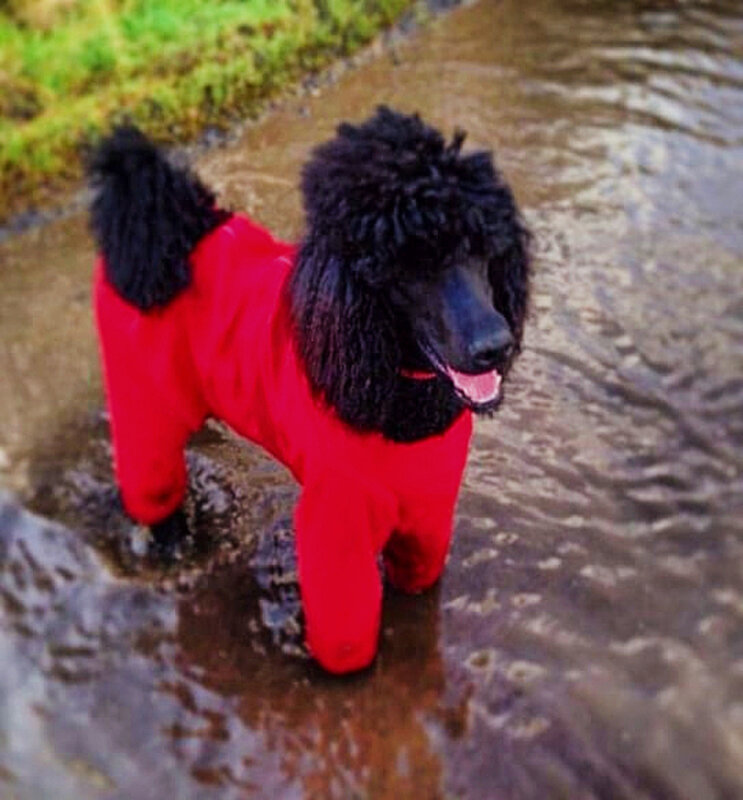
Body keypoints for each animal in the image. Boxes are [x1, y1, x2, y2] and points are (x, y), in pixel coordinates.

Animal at [89, 106, 530, 673]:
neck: (398, 404)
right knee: (154, 495)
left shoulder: (429, 509)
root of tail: (165, 230)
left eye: (483, 248)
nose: (496, 345)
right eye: (409, 266)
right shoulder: (335, 525)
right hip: (146, 408)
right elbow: (346, 637)